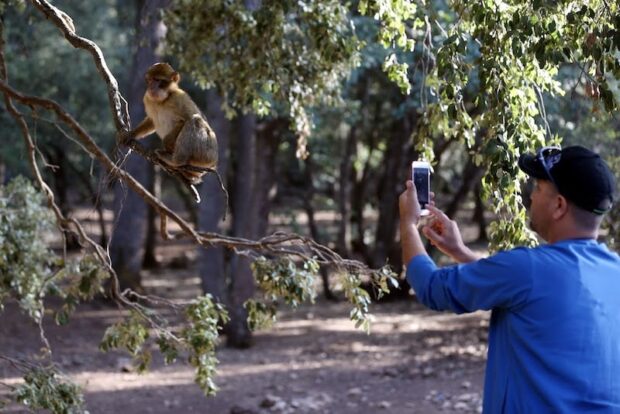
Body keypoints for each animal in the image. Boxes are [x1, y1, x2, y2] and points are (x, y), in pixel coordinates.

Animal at [119, 61, 220, 194]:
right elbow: (151, 120)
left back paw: (175, 160)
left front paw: (167, 143)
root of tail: (214, 163)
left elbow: (186, 119)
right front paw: (132, 134)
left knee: (195, 120)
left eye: (157, 80)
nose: (151, 87)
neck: (162, 100)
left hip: (207, 154)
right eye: (150, 80)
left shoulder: (179, 97)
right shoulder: (147, 98)